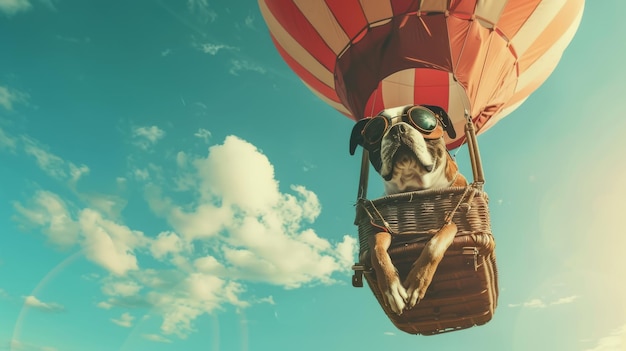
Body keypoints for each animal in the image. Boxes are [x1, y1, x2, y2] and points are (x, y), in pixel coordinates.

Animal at [348, 104, 466, 316]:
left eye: (423, 118)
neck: (415, 187)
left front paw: (416, 282)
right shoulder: (382, 227)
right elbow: (376, 248)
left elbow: (434, 244)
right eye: (374, 130)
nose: (397, 129)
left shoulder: (453, 222)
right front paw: (391, 287)